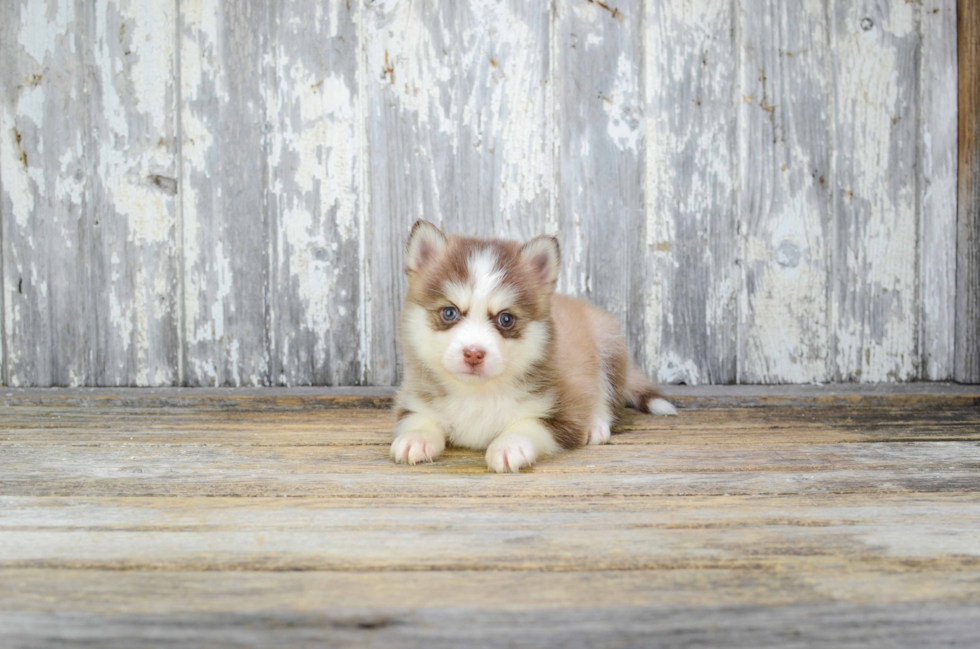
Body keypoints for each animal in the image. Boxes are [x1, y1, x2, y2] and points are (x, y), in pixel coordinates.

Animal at [388, 220, 672, 474]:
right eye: (449, 312)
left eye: (505, 319)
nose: (473, 354)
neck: (478, 394)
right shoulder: (412, 399)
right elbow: (417, 418)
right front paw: (416, 438)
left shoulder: (561, 416)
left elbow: (530, 424)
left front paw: (508, 446)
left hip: (608, 345)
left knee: (606, 396)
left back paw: (595, 425)